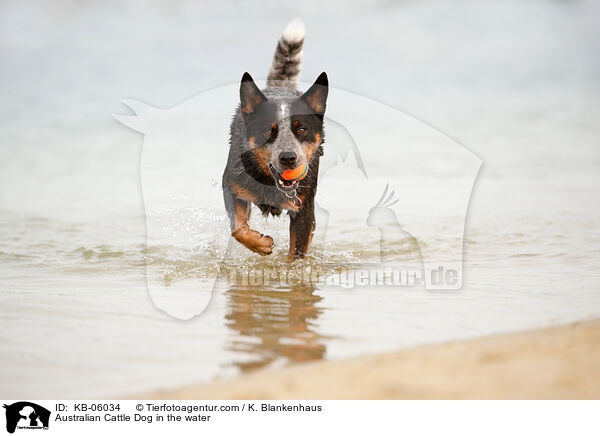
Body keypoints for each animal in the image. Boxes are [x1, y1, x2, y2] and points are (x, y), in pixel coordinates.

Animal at [223, 20, 330, 258]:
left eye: (302, 129)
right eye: (267, 131)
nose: (288, 157)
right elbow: (238, 227)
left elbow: (297, 252)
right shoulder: (232, 187)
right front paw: (260, 244)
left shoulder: (304, 209)